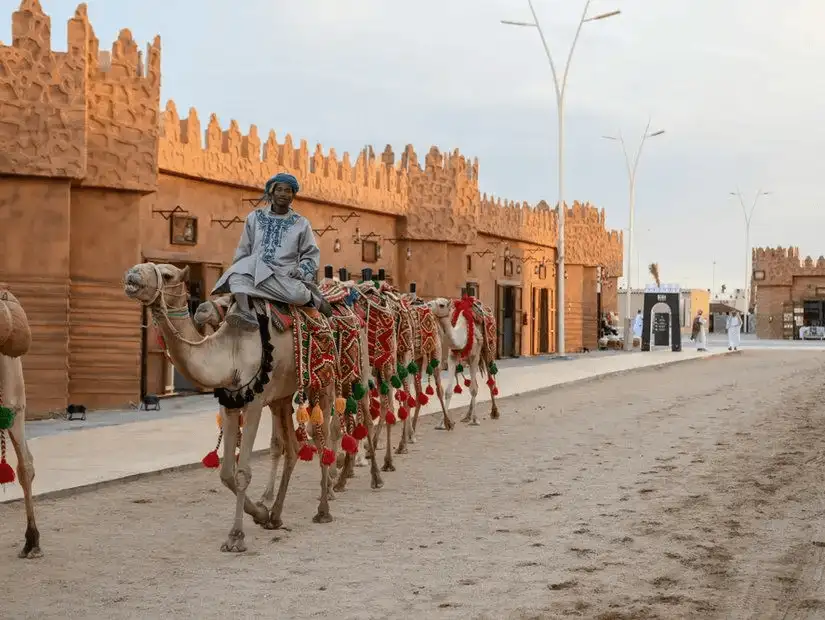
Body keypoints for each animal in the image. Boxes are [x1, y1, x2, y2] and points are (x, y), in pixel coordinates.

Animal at [123, 262, 342, 552]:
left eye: (167, 274)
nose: (132, 275)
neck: (230, 352)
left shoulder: (255, 403)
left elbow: (243, 472)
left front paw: (236, 536)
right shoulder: (230, 403)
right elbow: (226, 472)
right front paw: (260, 514)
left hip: (323, 383)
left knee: (322, 438)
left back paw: (323, 509)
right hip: (282, 396)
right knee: (293, 448)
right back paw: (276, 515)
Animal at [428, 296, 498, 426]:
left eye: (441, 305)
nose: (428, 304)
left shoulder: (474, 356)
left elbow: (473, 389)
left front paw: (475, 420)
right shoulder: (452, 357)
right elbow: (449, 391)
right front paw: (443, 423)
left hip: (487, 351)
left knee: (489, 380)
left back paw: (494, 412)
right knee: (475, 384)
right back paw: (466, 416)